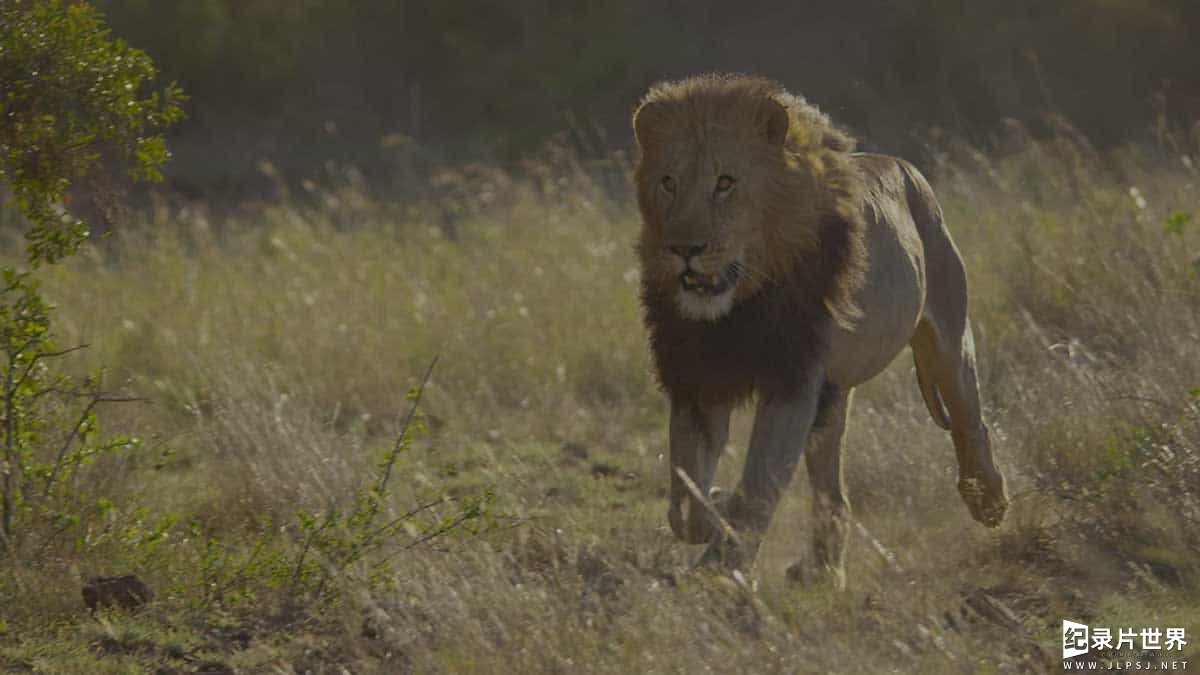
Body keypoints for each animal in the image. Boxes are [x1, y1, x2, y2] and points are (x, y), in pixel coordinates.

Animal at [633, 73, 1008, 586]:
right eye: (668, 183)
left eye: (725, 183)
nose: (684, 248)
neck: (738, 310)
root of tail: (906, 167)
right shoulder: (700, 381)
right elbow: (685, 503)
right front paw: (718, 511)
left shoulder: (793, 384)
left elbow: (759, 484)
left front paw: (722, 565)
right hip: (834, 396)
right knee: (832, 489)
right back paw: (822, 566)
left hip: (947, 336)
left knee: (970, 416)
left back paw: (987, 499)